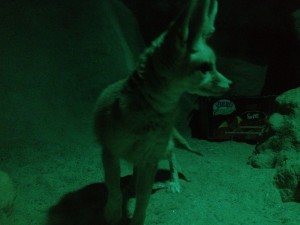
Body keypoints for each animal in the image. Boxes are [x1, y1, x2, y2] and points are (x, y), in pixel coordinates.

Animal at [94, 0, 232, 225]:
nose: (230, 84)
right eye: (205, 68)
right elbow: (113, 189)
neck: (148, 117)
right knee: (135, 172)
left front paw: (136, 219)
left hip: (164, 149)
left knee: (174, 158)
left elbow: (143, 200)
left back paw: (173, 182)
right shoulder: (110, 152)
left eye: (214, 66)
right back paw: (131, 186)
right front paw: (113, 213)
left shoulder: (151, 159)